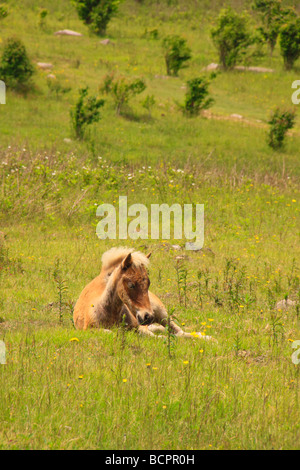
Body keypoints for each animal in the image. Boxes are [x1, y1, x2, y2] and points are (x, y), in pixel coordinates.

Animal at [74, 246, 212, 342]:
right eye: (131, 285)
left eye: (148, 283)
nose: (147, 316)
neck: (110, 311)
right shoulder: (89, 330)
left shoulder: (140, 328)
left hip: (161, 313)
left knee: (179, 332)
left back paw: (209, 338)